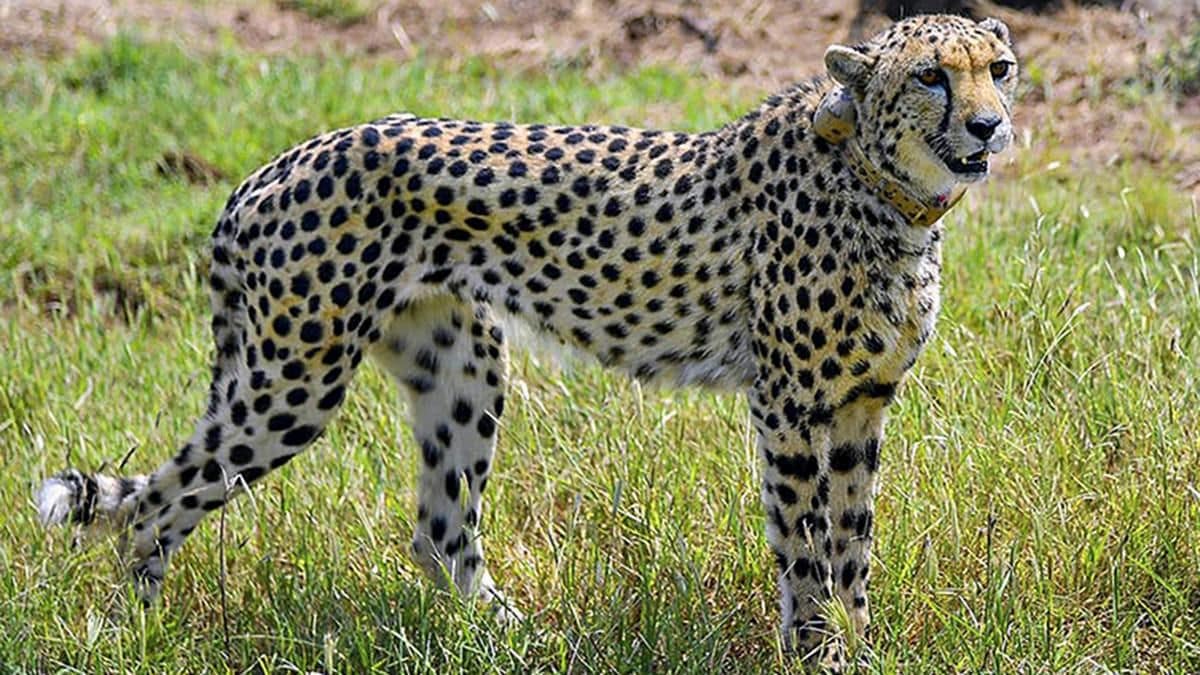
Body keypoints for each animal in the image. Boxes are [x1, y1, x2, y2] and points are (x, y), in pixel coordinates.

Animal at [35, 14, 1017, 667]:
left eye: (999, 68)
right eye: (931, 77)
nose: (989, 124)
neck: (886, 190)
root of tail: (271, 167)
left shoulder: (860, 405)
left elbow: (853, 545)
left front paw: (862, 643)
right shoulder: (788, 406)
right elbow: (806, 550)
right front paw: (821, 652)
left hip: (461, 365)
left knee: (440, 531)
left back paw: (520, 641)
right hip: (292, 381)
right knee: (159, 503)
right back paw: (135, 631)